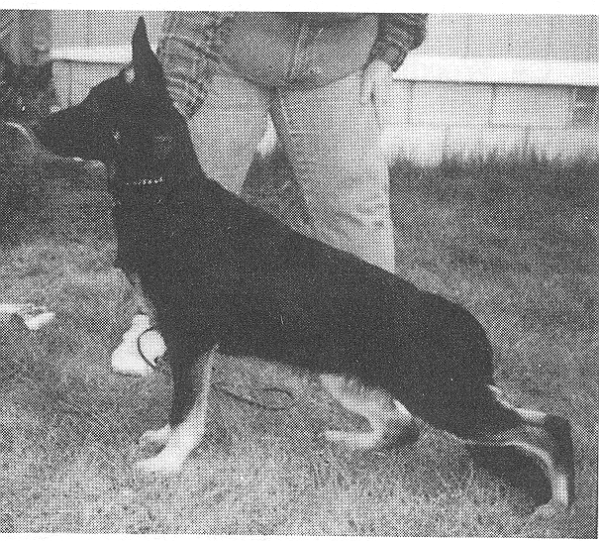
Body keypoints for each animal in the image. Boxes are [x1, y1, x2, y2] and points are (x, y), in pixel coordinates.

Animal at [35, 17, 576, 516]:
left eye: (97, 107)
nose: (33, 124)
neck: (165, 194)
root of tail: (473, 333)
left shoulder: (191, 343)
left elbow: (189, 412)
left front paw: (167, 464)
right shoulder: (183, 344)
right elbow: (183, 409)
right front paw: (163, 442)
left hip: (442, 398)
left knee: (549, 426)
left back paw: (557, 504)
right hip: (350, 381)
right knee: (404, 428)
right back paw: (351, 441)